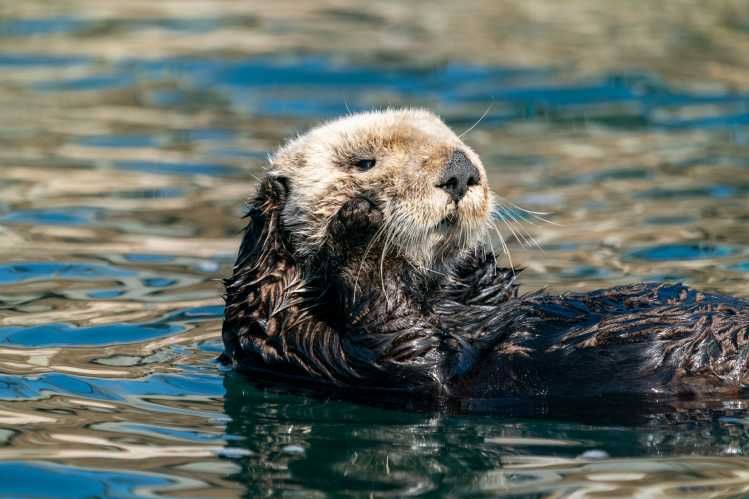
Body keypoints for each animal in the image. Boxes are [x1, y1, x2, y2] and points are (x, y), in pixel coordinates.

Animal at [221, 109, 749, 406]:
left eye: (460, 145)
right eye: (363, 162)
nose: (461, 171)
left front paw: (477, 264)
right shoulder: (296, 340)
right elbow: (410, 356)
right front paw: (358, 229)